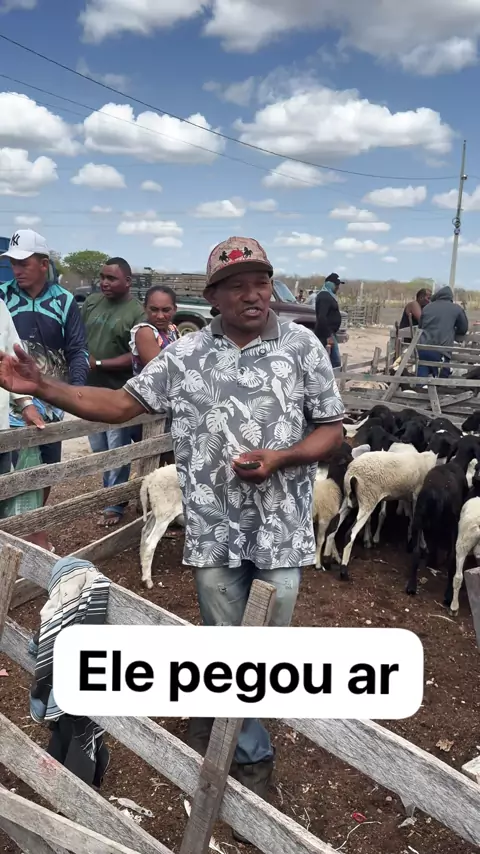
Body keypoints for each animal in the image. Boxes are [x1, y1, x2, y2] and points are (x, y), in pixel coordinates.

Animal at [337, 449, 438, 582]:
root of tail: (352, 472)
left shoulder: (409, 497)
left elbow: (412, 519)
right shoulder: (417, 495)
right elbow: (419, 524)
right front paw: (423, 546)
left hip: (349, 498)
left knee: (334, 524)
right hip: (368, 498)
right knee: (350, 534)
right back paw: (344, 571)